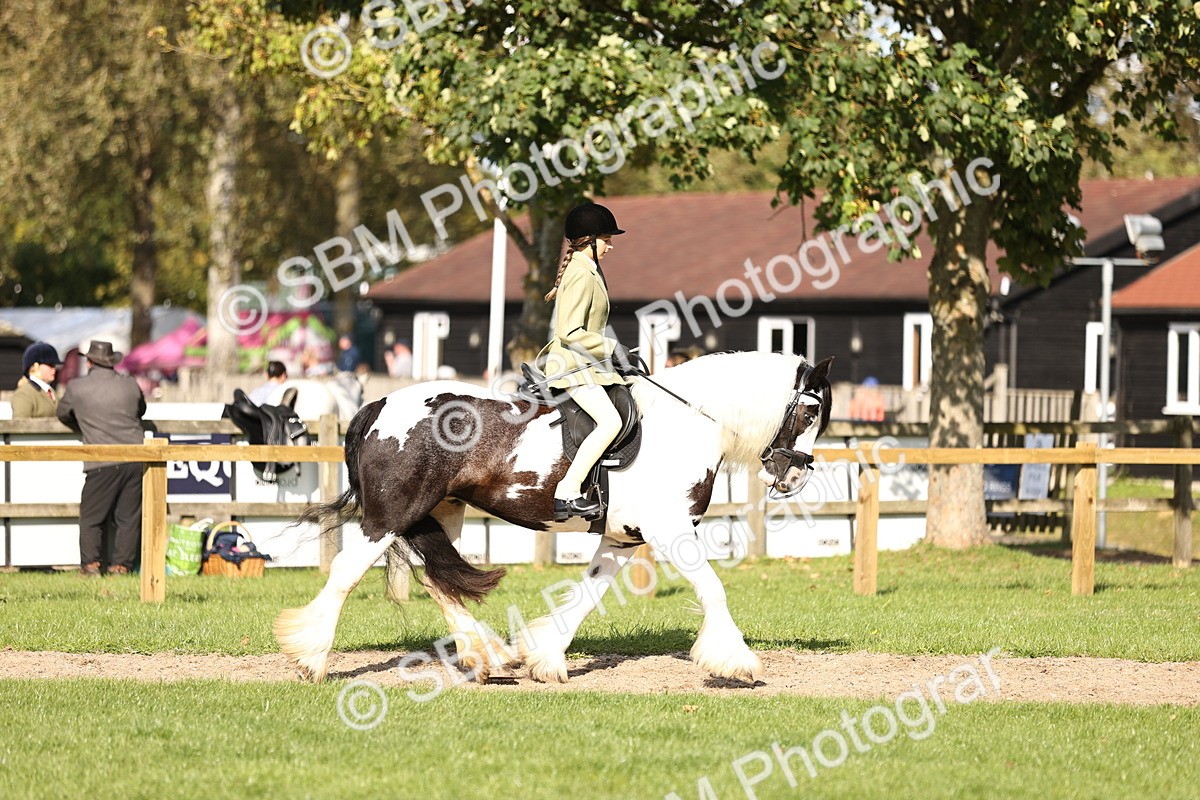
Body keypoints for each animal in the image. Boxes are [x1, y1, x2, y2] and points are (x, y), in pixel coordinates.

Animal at [275, 350, 833, 684]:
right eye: (809, 413)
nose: (793, 477)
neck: (686, 421)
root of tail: (379, 405)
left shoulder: (623, 538)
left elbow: (587, 596)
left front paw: (544, 659)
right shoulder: (670, 532)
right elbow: (713, 589)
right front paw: (737, 662)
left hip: (439, 512)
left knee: (437, 579)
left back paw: (488, 657)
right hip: (392, 513)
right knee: (347, 573)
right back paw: (311, 657)